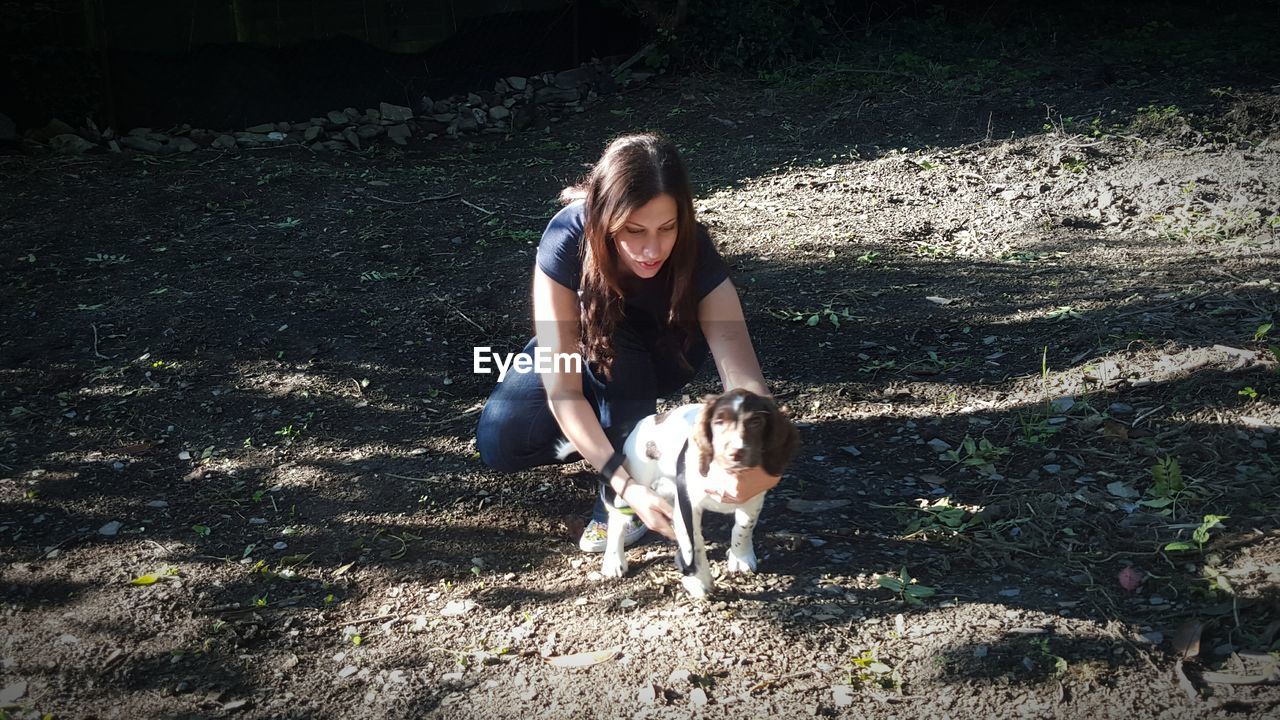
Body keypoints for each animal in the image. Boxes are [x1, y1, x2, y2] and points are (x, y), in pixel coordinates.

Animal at [609, 386, 798, 594]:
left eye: (756, 422)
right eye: (718, 422)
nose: (735, 453)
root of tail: (644, 422)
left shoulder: (753, 498)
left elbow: (743, 528)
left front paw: (740, 557)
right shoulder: (688, 506)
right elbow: (693, 544)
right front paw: (699, 580)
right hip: (635, 482)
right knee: (617, 520)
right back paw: (613, 561)